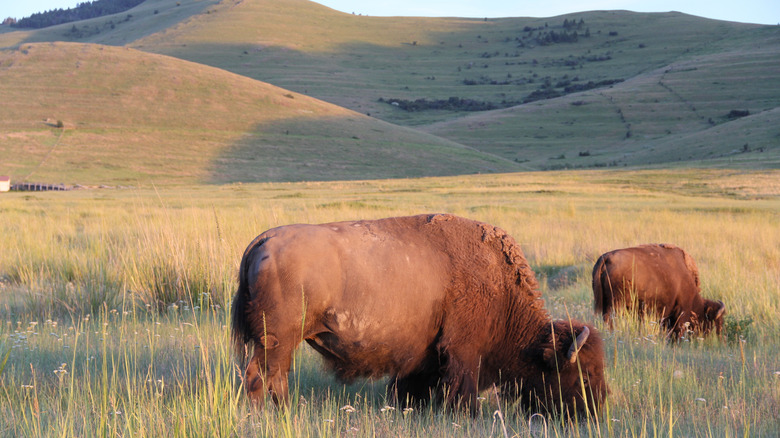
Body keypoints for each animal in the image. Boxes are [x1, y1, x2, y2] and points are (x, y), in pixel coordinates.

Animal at [229, 215, 608, 418]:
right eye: (583, 374)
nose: (595, 411)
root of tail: (262, 241)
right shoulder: (463, 351)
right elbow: (462, 389)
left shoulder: (424, 356)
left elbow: (410, 387)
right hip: (277, 341)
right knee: (261, 376)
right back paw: (269, 414)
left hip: (279, 343)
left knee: (274, 376)